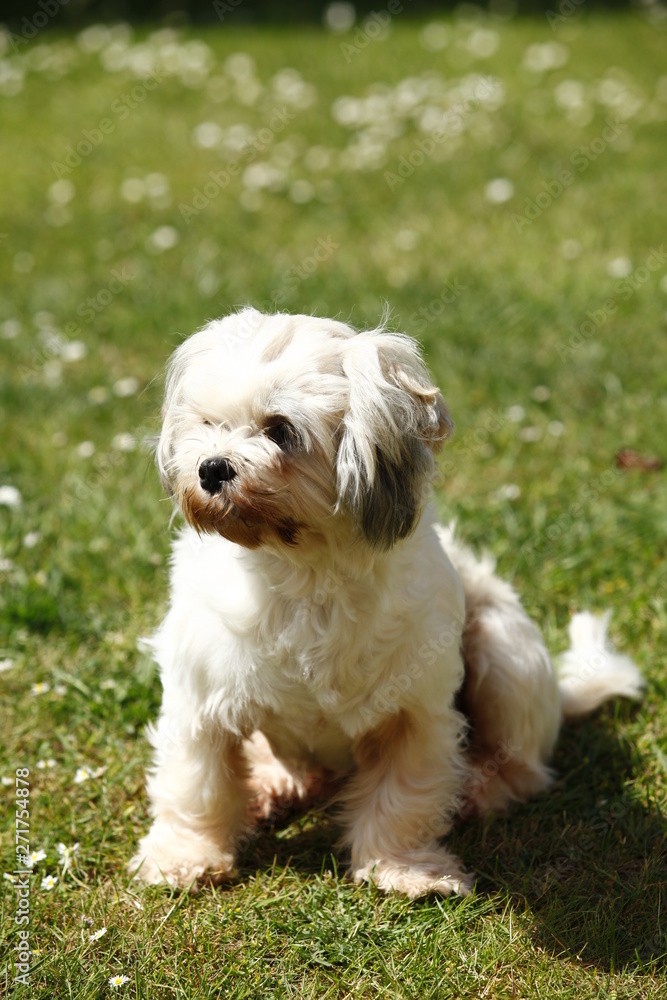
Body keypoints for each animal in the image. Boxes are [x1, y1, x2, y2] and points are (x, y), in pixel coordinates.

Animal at [128, 306, 644, 900]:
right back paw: (272, 783)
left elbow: (404, 795)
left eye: (281, 430)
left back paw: (476, 788)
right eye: (208, 424)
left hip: (506, 652)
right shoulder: (199, 698)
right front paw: (183, 858)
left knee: (522, 768)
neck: (303, 571)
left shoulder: (415, 711)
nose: (211, 468)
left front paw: (406, 870)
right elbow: (198, 785)